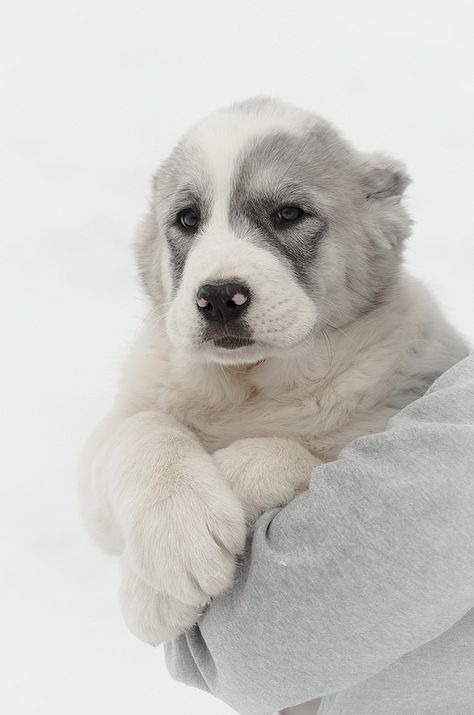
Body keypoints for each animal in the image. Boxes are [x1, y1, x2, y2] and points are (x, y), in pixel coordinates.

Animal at [78, 98, 466, 648]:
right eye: (188, 219)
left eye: (289, 214)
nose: (219, 297)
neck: (250, 387)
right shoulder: (100, 460)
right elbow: (142, 429)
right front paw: (172, 550)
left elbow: (291, 453)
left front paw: (151, 587)